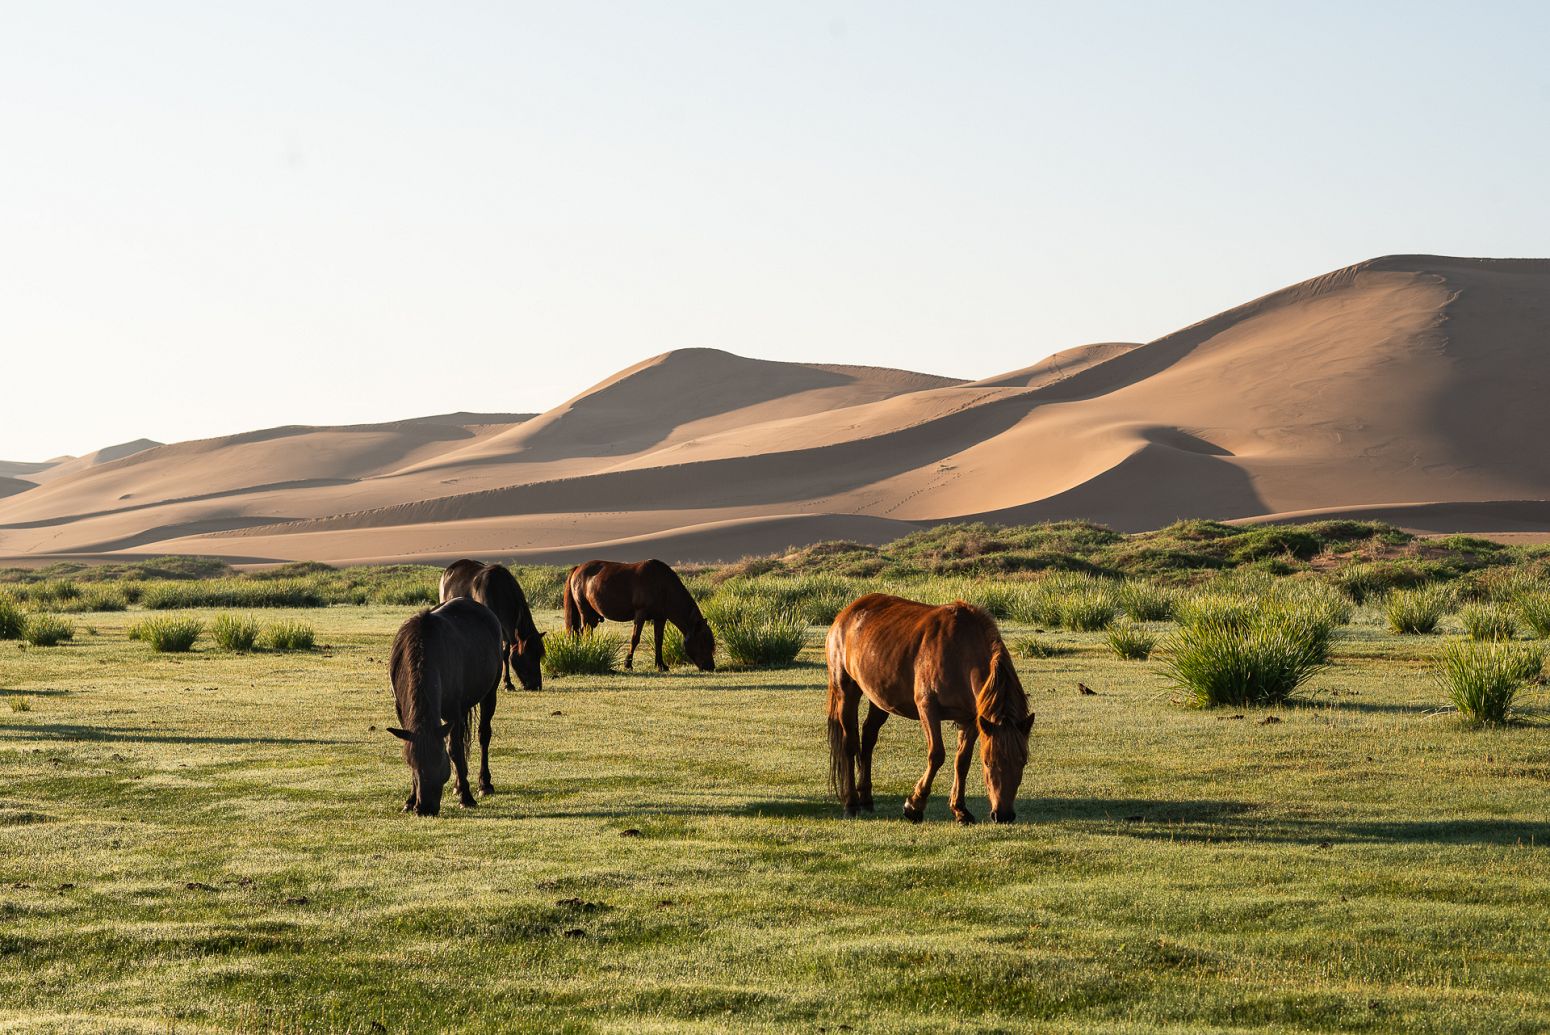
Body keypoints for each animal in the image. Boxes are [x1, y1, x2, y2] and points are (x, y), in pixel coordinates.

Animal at [387, 598, 502, 818]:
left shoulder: (452, 711)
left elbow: (454, 749)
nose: (425, 808)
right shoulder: (402, 712)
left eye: (440, 760)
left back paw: (484, 784)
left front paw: (467, 797)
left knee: (483, 735)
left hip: (490, 692)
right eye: (412, 763)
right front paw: (409, 800)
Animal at [440, 560, 548, 691]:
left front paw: (508, 683)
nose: (536, 685)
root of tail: (448, 570)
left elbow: (506, 653)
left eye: (539, 656)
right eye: (528, 655)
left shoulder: (506, 631)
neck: (499, 591)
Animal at [564, 557, 719, 672]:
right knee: (585, 633)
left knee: (582, 632)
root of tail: (578, 568)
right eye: (702, 642)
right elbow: (635, 639)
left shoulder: (660, 618)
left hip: (590, 616)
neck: (662, 585)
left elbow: (658, 640)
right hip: (585, 613)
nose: (710, 667)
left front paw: (661, 665)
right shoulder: (641, 614)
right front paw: (628, 664)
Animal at [830, 598, 1035, 824]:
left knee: (868, 738)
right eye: (988, 762)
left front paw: (960, 809)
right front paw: (914, 805)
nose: (1004, 815)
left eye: (1023, 762)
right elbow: (937, 755)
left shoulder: (971, 719)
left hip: (879, 697)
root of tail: (847, 612)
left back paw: (866, 799)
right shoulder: (928, 708)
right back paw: (851, 804)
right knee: (850, 745)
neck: (961, 652)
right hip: (846, 690)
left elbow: (962, 762)